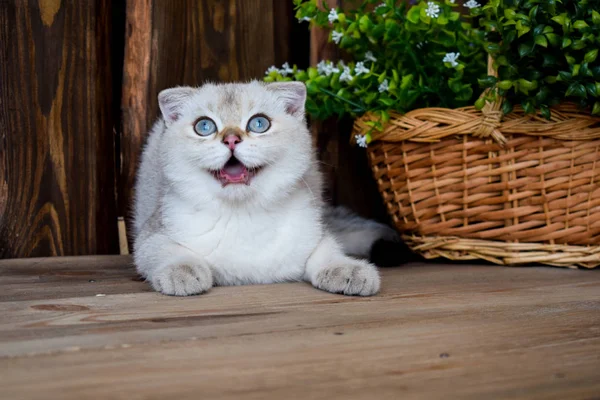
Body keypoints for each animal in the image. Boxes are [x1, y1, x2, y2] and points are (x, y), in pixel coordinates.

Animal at [132, 79, 398, 296]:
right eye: (204, 127)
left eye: (259, 123)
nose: (231, 139)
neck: (242, 215)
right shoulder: (152, 234)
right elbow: (169, 252)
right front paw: (183, 272)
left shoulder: (313, 233)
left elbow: (327, 252)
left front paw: (349, 270)